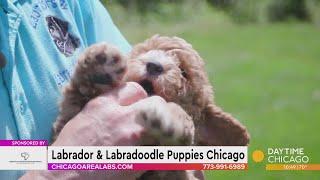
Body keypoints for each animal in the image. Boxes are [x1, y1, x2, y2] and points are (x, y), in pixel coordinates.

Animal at [52, 34, 250, 179]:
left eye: (184, 72)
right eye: (146, 52)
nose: (154, 65)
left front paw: (167, 118)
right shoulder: (66, 119)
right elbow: (76, 94)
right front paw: (99, 66)